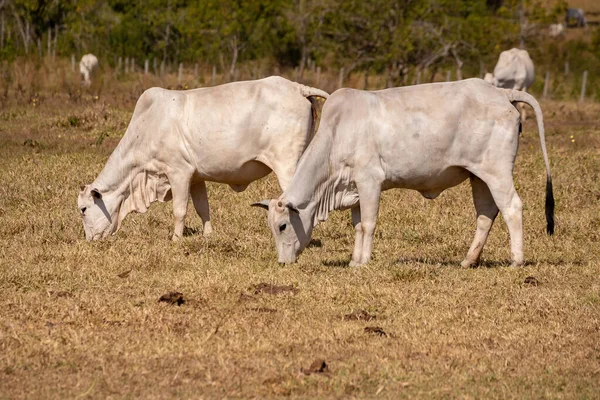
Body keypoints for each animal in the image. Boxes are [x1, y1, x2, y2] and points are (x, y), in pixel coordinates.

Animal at [77, 77, 328, 242]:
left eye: (83, 209)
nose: (90, 240)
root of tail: (297, 88)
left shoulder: (178, 172)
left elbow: (180, 210)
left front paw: (176, 240)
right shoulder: (196, 178)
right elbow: (202, 209)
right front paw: (208, 235)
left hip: (287, 165)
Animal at [252, 79, 552, 268]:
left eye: (282, 225)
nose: (282, 262)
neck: (339, 131)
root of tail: (500, 93)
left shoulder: (370, 182)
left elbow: (369, 224)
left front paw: (363, 262)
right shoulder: (354, 188)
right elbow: (358, 225)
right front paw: (354, 259)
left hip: (497, 172)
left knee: (512, 207)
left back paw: (516, 260)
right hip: (478, 176)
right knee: (486, 214)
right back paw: (469, 260)